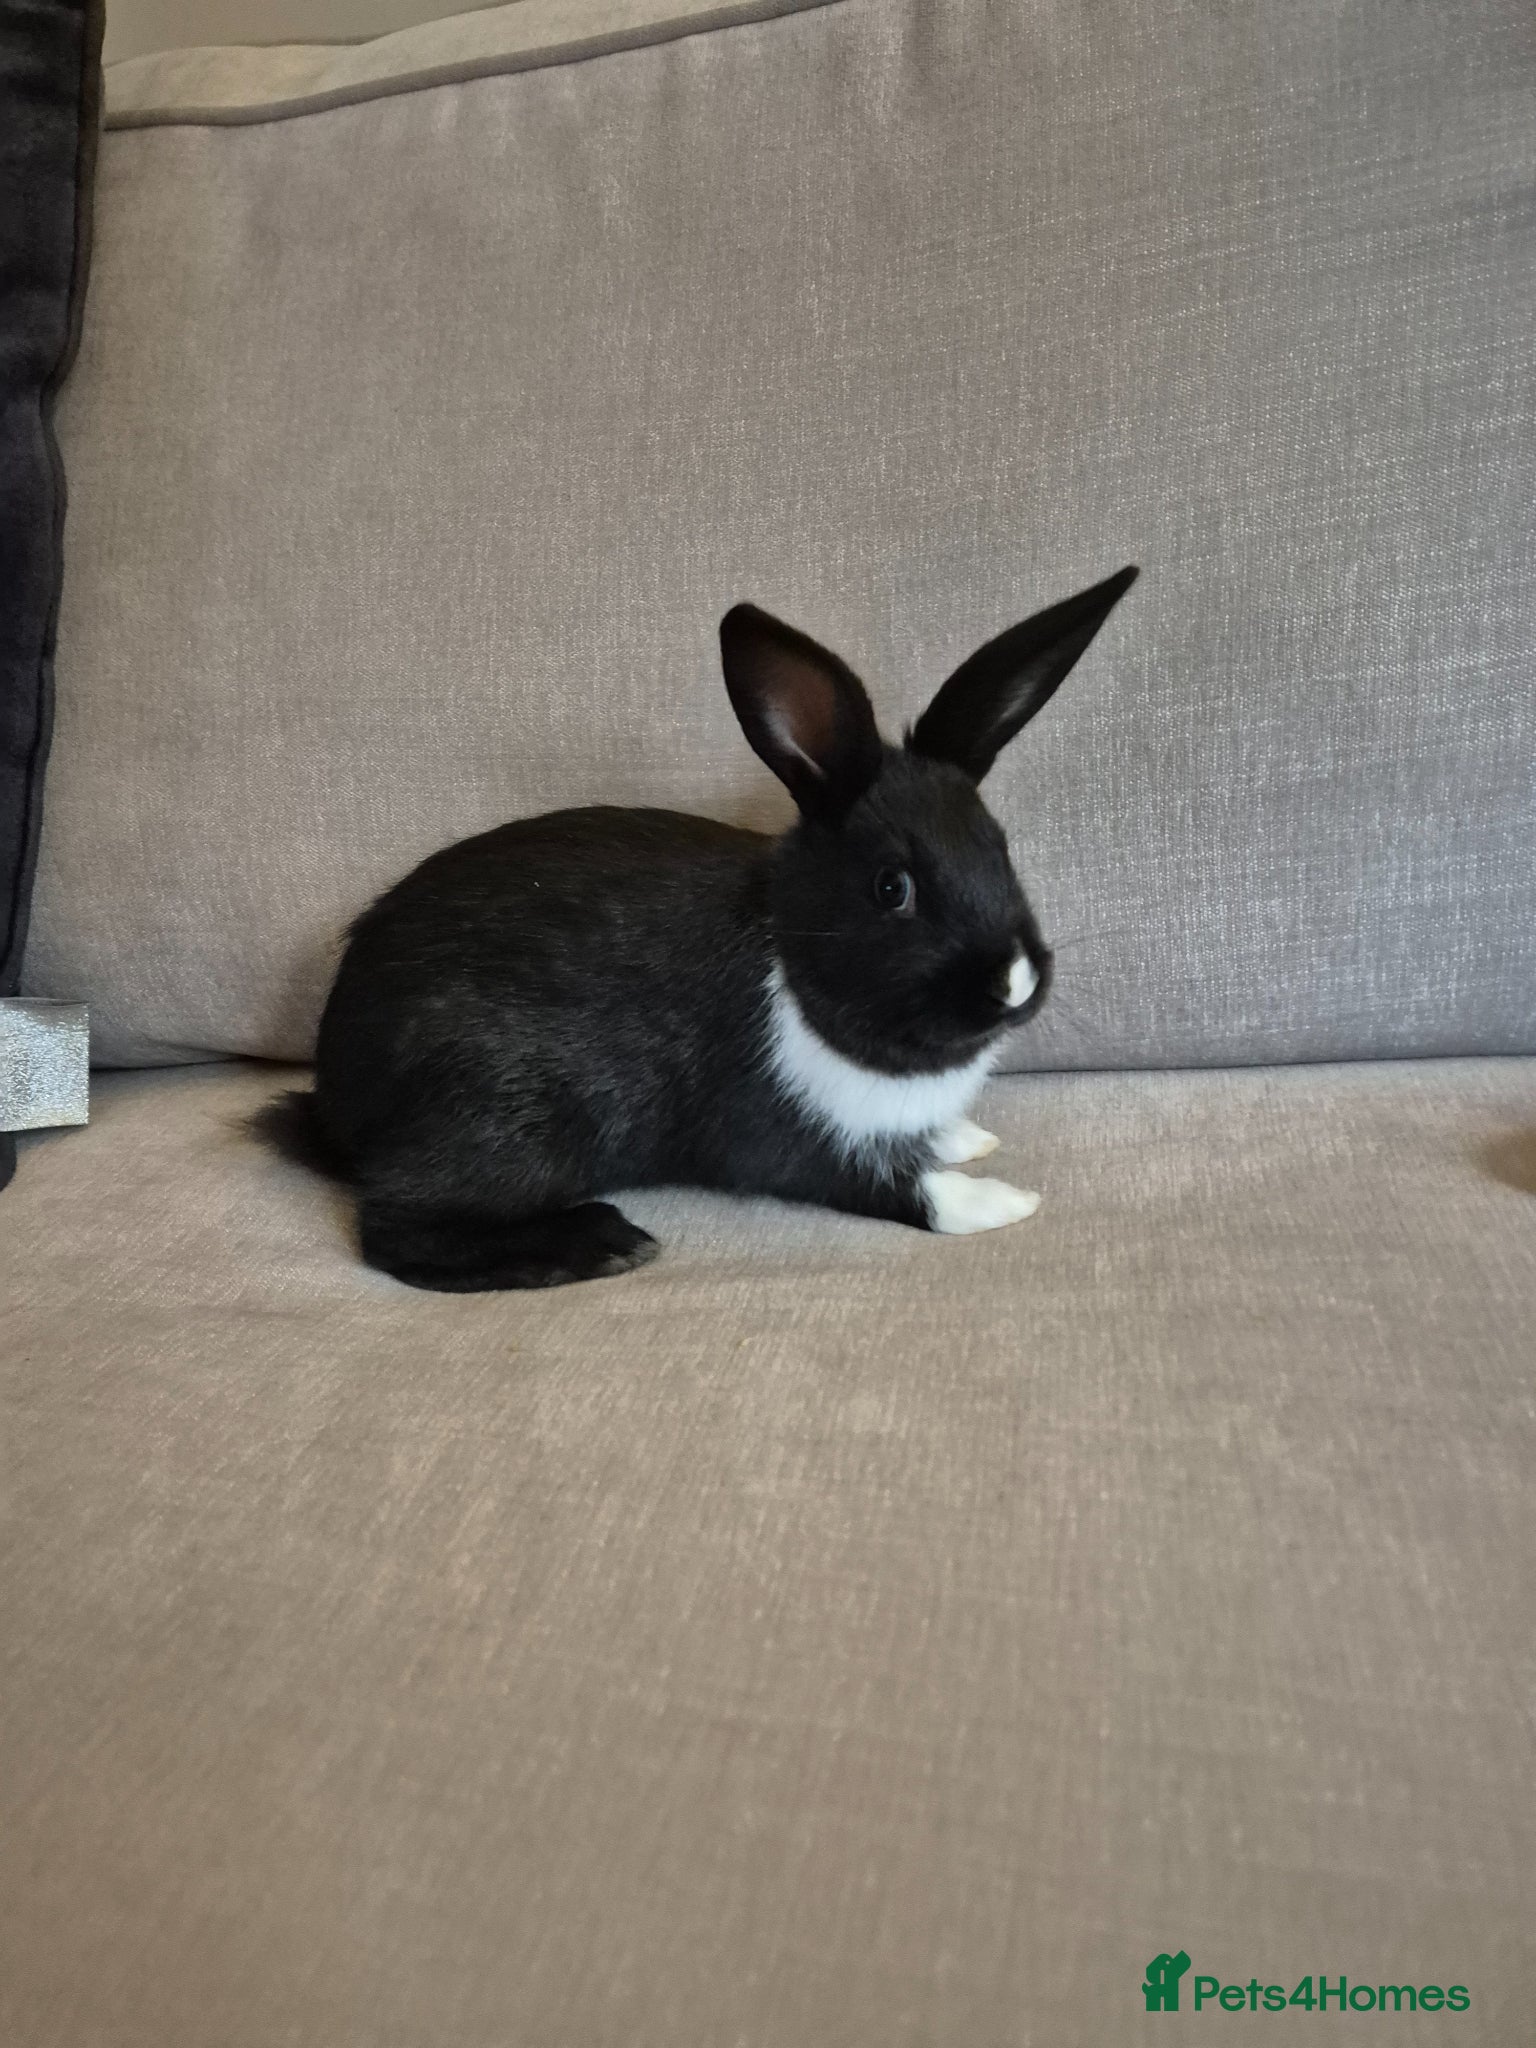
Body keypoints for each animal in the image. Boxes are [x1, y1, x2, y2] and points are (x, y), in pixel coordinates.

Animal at [254, 567, 1137, 1290]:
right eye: (893, 888)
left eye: (1001, 848)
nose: (1015, 982)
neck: (795, 955)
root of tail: (337, 1103)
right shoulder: (794, 1133)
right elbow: (899, 1186)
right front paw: (1002, 1200)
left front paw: (966, 1139)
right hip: (497, 1118)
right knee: (397, 1229)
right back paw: (601, 1244)